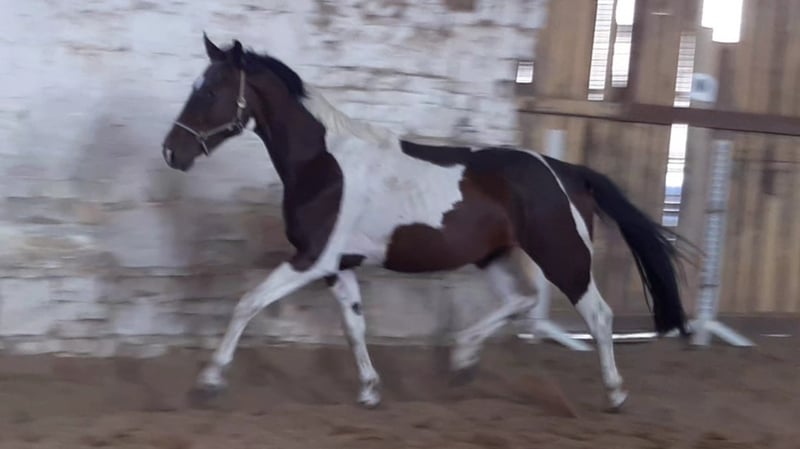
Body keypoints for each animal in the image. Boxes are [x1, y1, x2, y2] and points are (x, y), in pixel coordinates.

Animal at [160, 34, 691, 412]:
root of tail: (567, 172)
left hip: (563, 256)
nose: (171, 152)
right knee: (520, 301)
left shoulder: (311, 259)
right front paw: (370, 391)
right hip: (493, 256)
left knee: (598, 316)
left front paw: (208, 384)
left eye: (211, 91)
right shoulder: (338, 266)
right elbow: (354, 327)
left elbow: (246, 304)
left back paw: (615, 393)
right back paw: (461, 362)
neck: (324, 164)